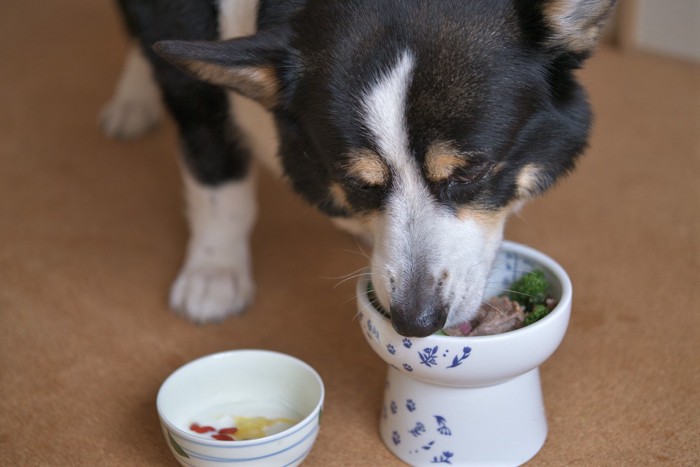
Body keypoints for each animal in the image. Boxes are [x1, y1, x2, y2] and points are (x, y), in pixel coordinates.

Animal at [102, 0, 612, 336]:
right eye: (357, 182)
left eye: (470, 173)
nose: (415, 324)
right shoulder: (193, 89)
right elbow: (219, 183)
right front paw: (214, 273)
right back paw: (132, 98)